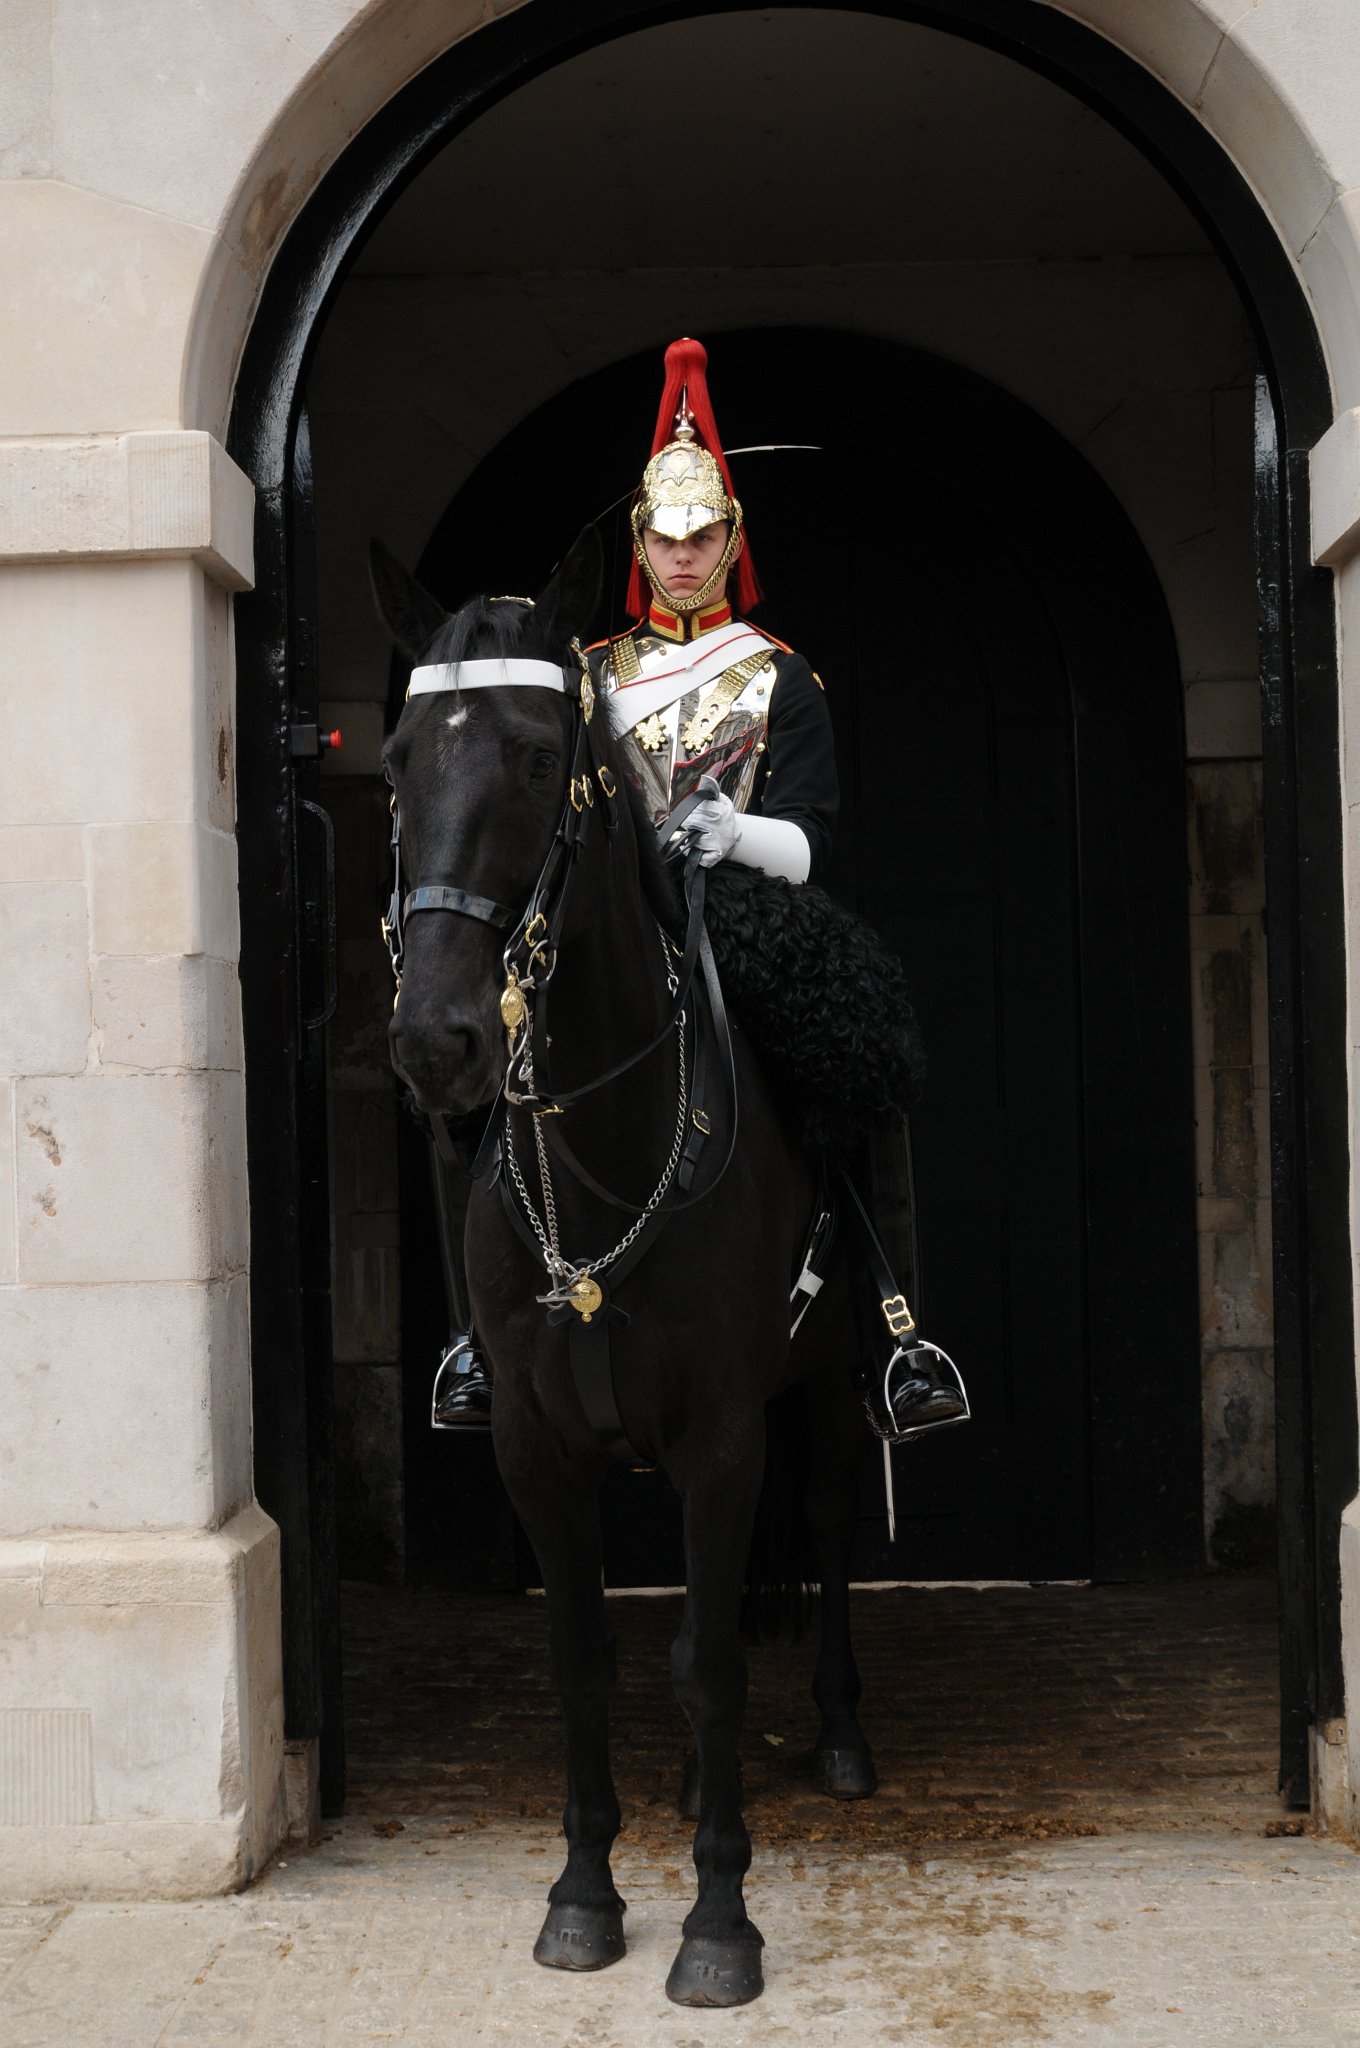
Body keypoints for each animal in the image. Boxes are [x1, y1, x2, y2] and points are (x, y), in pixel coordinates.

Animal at [374, 520, 880, 2007]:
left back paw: (839, 1735)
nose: (437, 1040)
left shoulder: (721, 1434)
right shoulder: (534, 1445)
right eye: (399, 757)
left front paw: (719, 1922)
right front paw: (585, 1893)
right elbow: (585, 1658)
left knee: (830, 1517)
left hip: (825, 1390)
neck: (605, 1135)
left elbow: (705, 1661)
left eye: (541, 754)